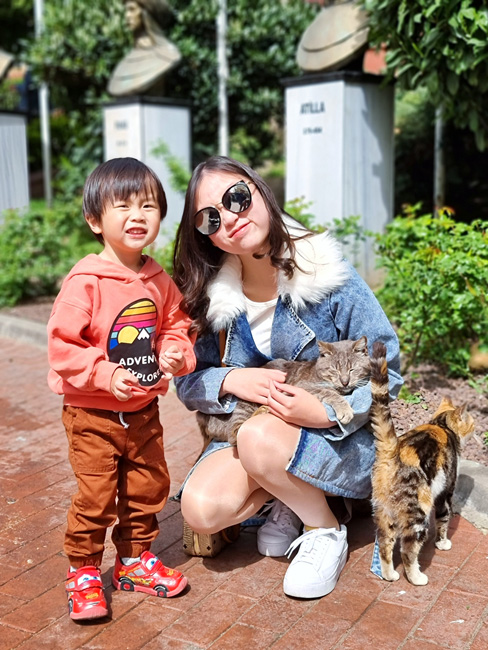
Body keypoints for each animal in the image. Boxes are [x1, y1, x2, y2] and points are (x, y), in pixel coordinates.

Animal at [196, 336, 370, 447]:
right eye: (334, 369)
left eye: (352, 369)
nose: (345, 381)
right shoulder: (303, 387)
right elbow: (330, 393)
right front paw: (344, 409)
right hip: (243, 407)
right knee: (234, 434)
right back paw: (263, 410)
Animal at [369, 341, 475, 586]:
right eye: (472, 422)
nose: (477, 427)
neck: (441, 426)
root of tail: (392, 450)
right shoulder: (446, 490)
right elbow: (444, 519)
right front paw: (443, 543)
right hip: (418, 512)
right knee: (407, 550)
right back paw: (417, 577)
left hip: (383, 512)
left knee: (385, 544)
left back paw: (390, 575)